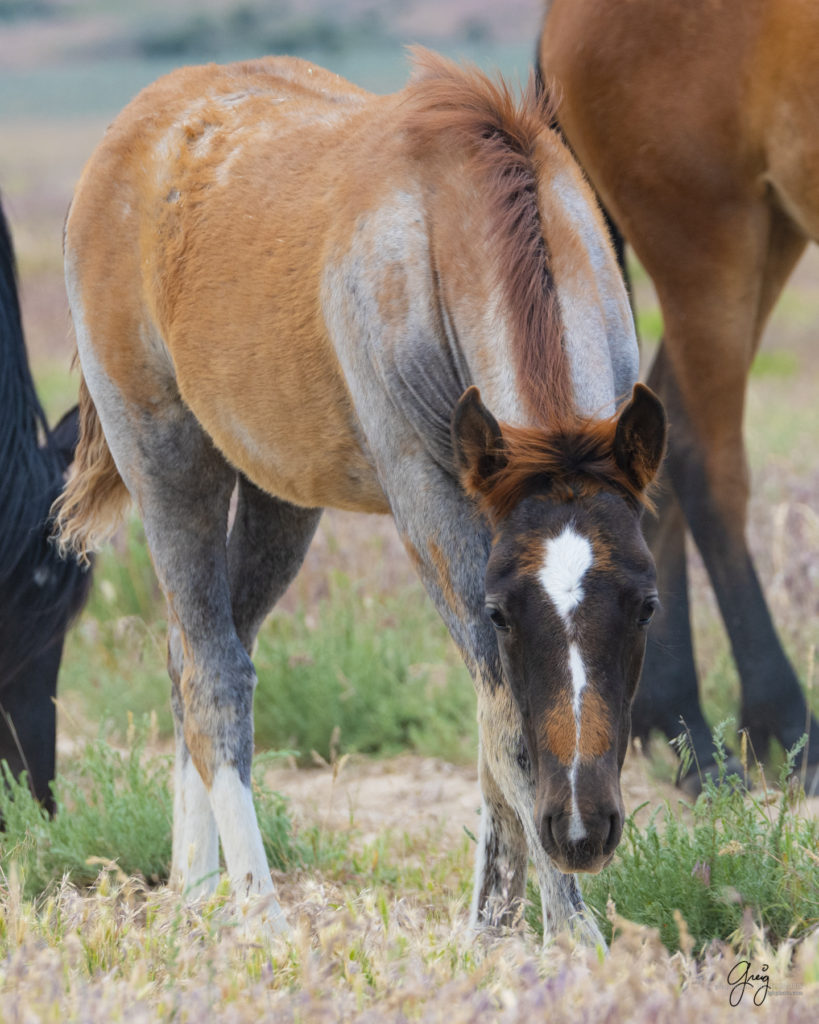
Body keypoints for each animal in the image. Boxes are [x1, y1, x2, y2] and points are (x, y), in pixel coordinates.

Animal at [54, 51, 663, 937]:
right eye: (503, 610)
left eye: (645, 604)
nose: (583, 829)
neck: (450, 227)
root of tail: (128, 131)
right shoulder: (428, 500)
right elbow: (505, 719)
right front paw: (566, 933)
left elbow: (491, 719)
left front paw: (491, 928)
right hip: (166, 459)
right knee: (212, 674)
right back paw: (258, 913)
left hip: (278, 498)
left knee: (189, 656)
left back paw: (196, 897)